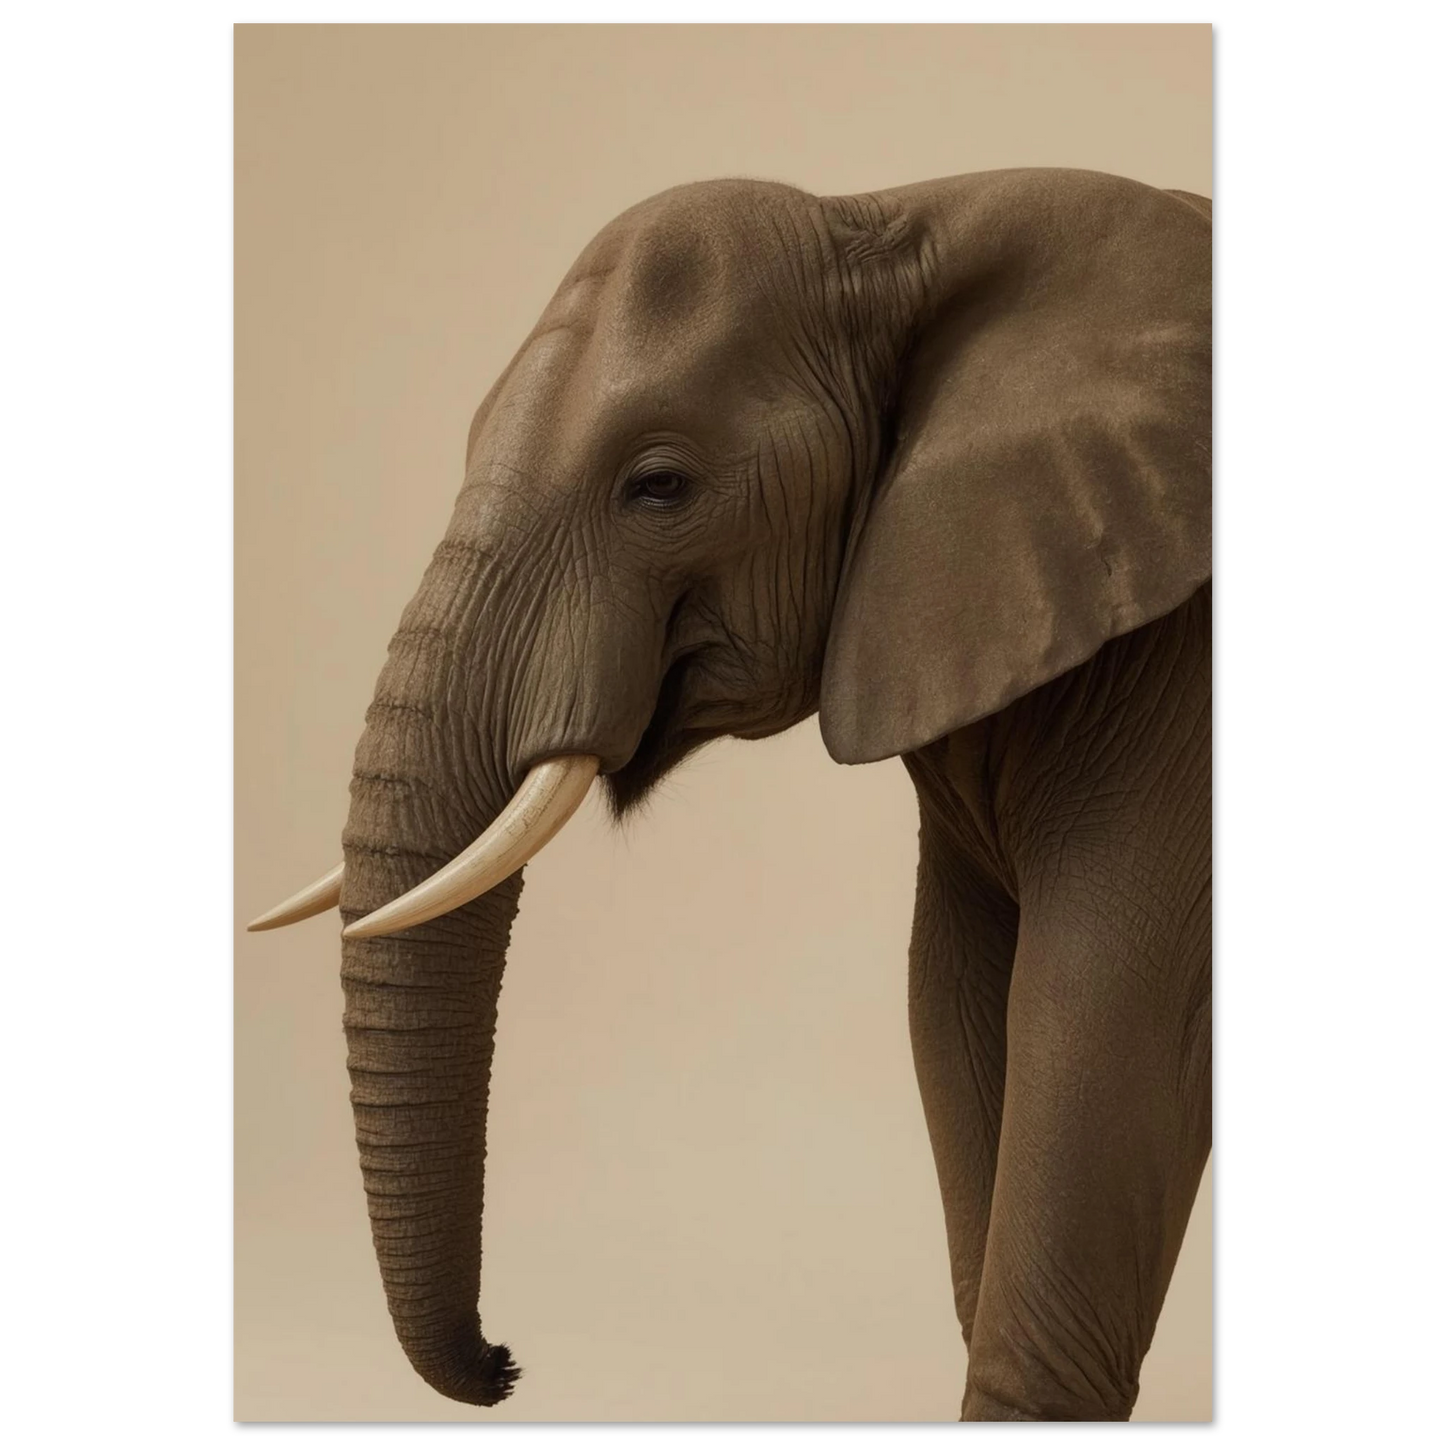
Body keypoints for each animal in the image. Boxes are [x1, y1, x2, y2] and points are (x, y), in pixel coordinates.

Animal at [249, 165, 1213, 1422]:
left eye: (658, 487)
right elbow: (952, 1003)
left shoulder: (1177, 700)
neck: (899, 214)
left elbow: (1102, 1020)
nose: (505, 1361)